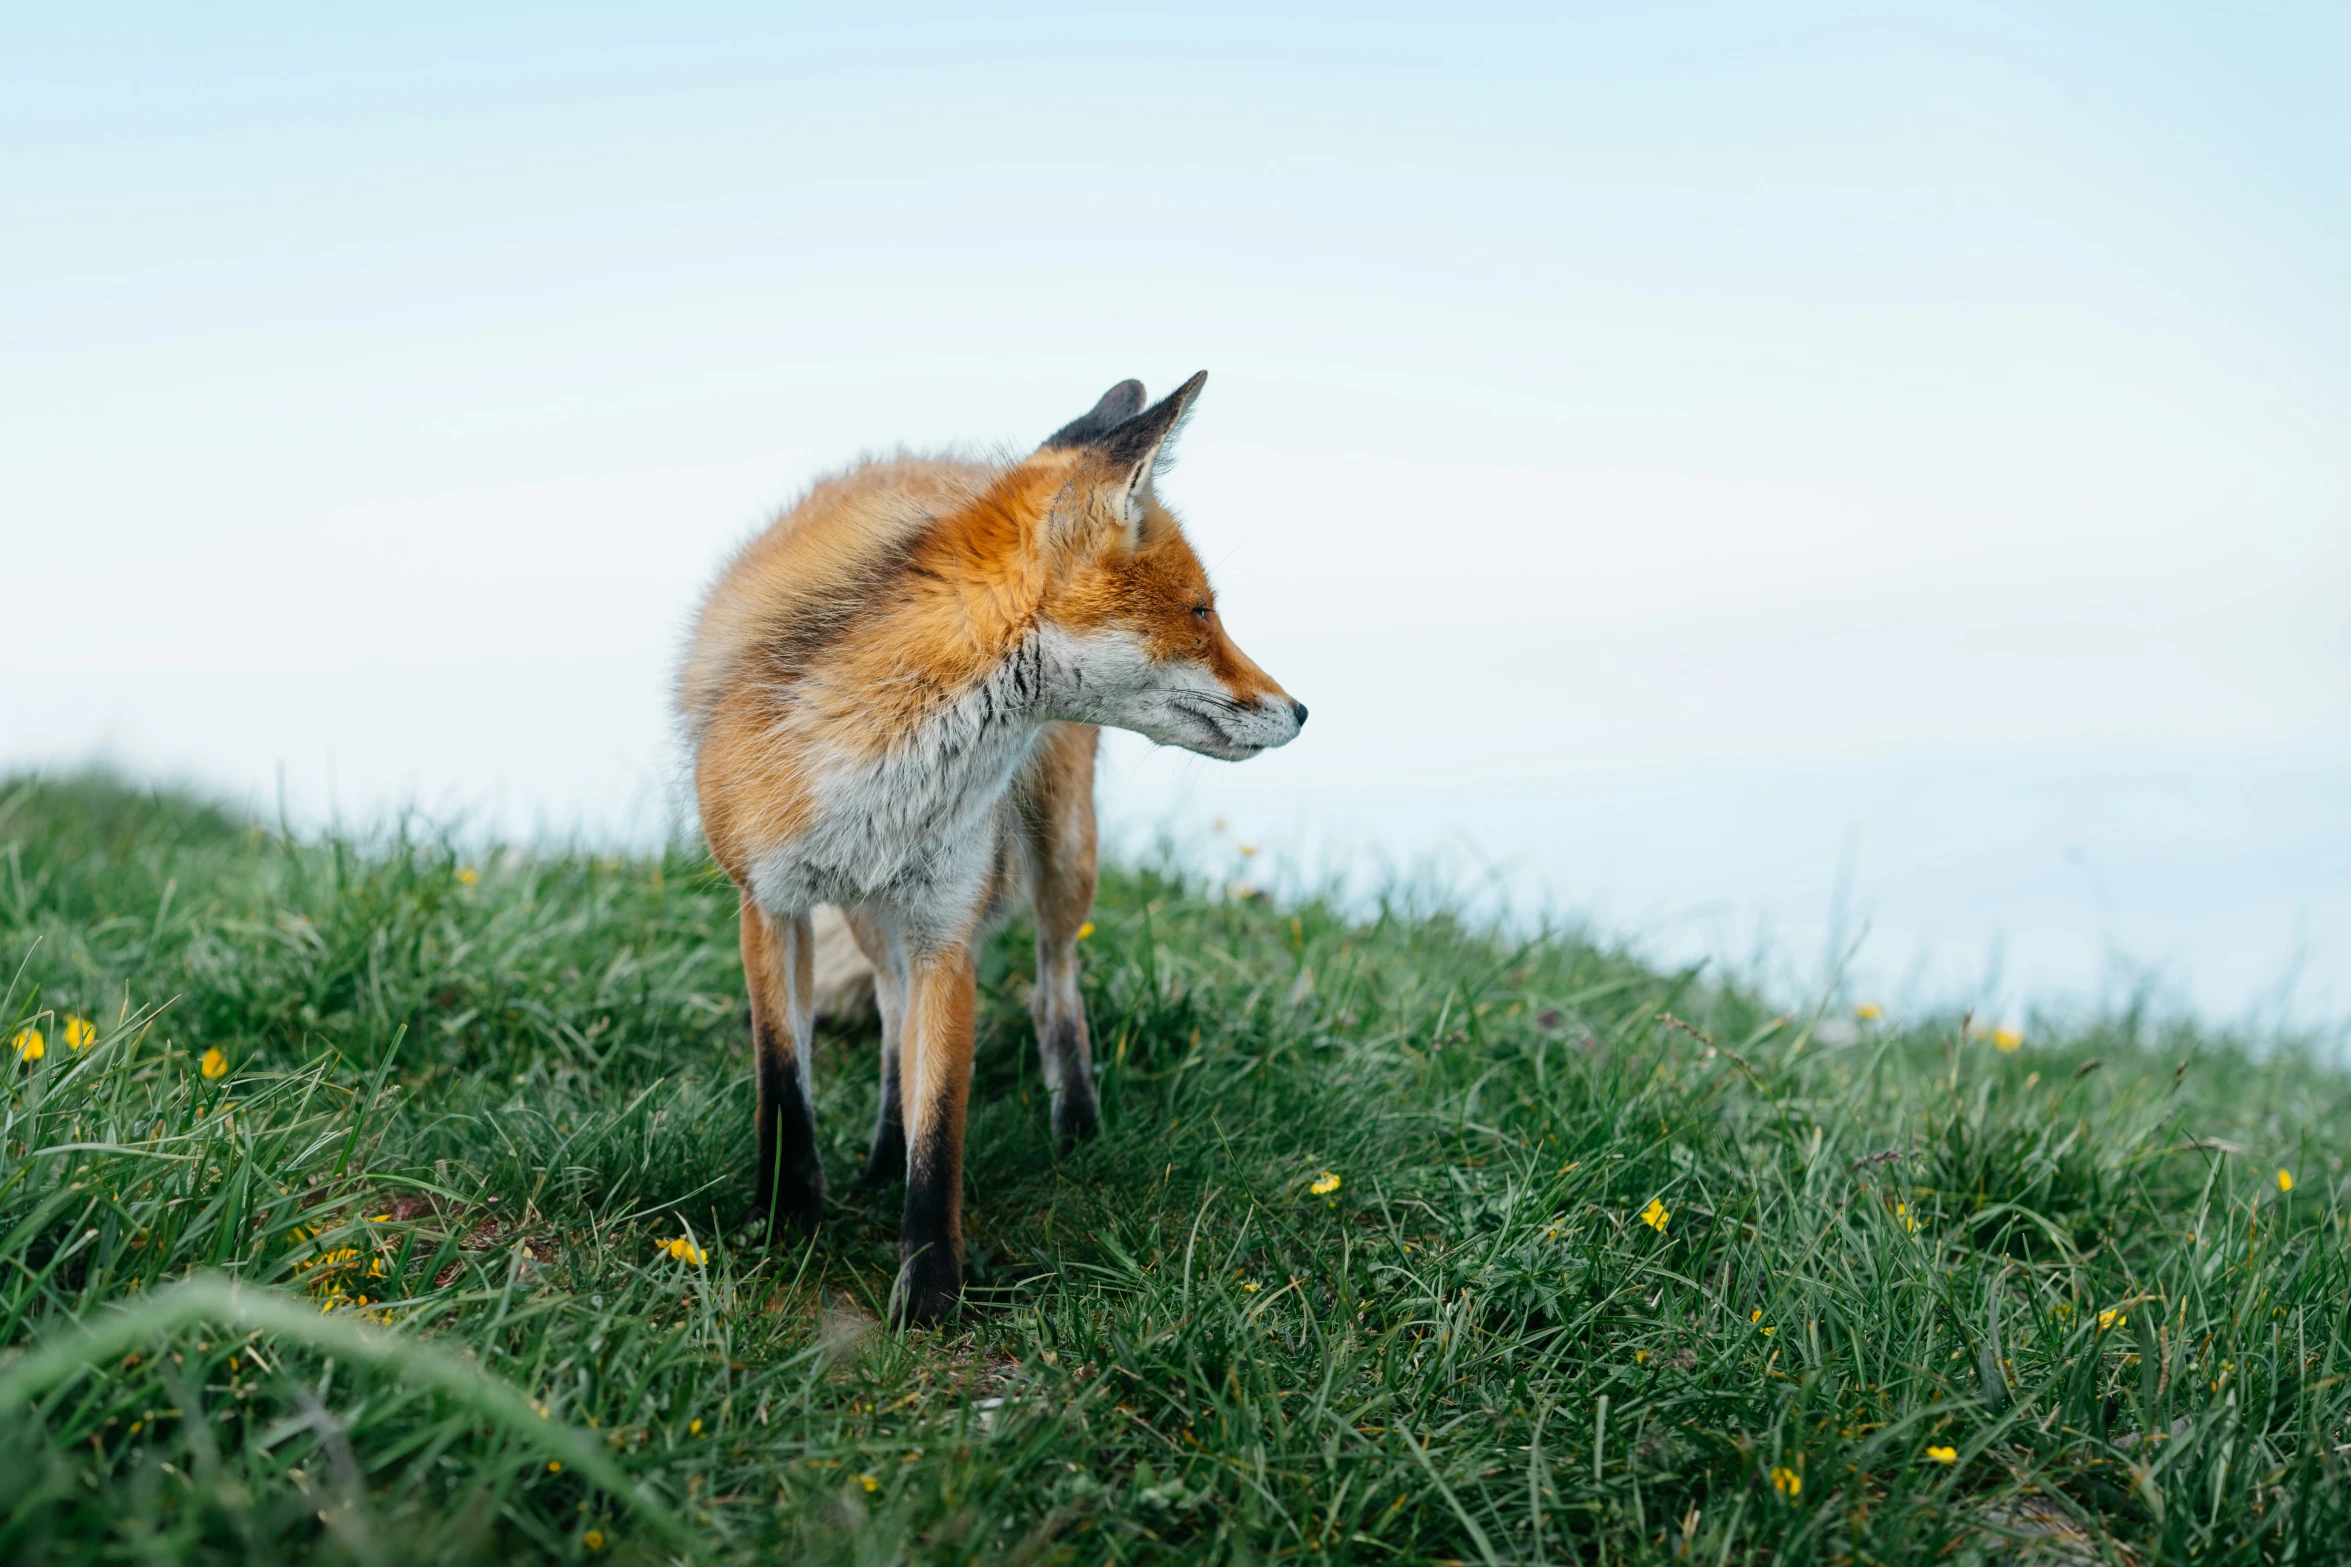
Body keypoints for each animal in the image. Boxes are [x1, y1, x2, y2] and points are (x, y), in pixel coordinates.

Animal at [681, 375, 1307, 1325]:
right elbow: (784, 1084)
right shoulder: (770, 900)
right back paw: (877, 1159)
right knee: (891, 1010)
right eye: (1202, 611)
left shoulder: (948, 927)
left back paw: (1076, 1127)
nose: (1301, 710)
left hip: (1061, 860)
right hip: (867, 911)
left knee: (1052, 989)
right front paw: (785, 1221)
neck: (886, 747)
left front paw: (931, 1290)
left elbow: (941, 1126)